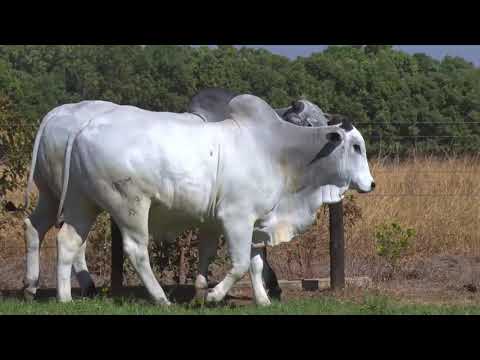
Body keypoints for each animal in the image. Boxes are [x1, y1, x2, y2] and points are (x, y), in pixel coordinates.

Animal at [51, 94, 376, 306]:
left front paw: (263, 300)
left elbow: (255, 263)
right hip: (130, 206)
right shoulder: (235, 218)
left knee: (68, 241)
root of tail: (83, 128)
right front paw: (213, 295)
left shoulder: (254, 223)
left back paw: (65, 298)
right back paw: (160, 298)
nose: (371, 184)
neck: (277, 150)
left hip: (83, 203)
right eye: (356, 147)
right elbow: (240, 264)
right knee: (136, 250)